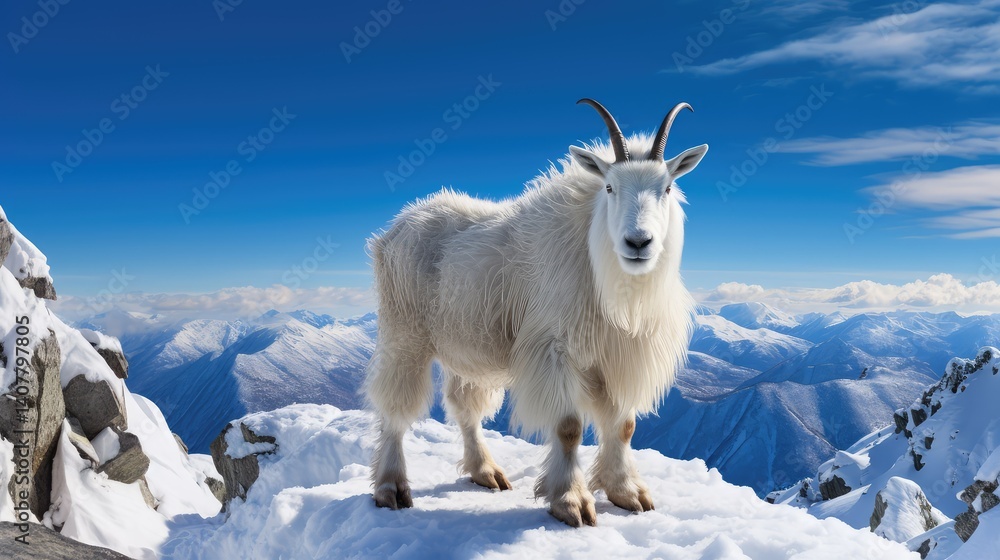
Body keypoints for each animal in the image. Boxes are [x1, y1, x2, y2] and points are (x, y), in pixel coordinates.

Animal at [365, 99, 707, 527]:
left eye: (668, 187)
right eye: (610, 187)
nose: (638, 242)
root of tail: (392, 231)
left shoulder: (616, 356)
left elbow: (624, 426)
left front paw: (627, 493)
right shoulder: (554, 349)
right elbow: (568, 427)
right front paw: (571, 502)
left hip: (465, 344)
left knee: (464, 405)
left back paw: (485, 472)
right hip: (405, 333)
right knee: (395, 408)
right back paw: (390, 487)